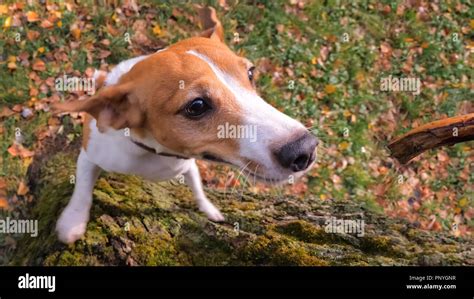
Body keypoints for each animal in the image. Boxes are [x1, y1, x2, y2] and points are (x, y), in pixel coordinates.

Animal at [53, 7, 316, 245]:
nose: (305, 149)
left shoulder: (188, 167)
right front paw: (73, 221)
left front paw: (209, 209)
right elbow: (82, 189)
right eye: (197, 106)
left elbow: (198, 191)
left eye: (250, 73)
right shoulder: (90, 155)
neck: (152, 154)